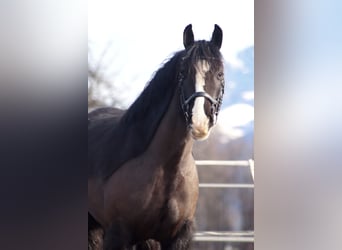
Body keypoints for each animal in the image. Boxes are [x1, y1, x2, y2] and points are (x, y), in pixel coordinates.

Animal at [89, 23, 224, 250]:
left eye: (220, 74)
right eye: (183, 73)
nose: (199, 122)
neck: (167, 168)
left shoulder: (177, 237)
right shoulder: (118, 233)